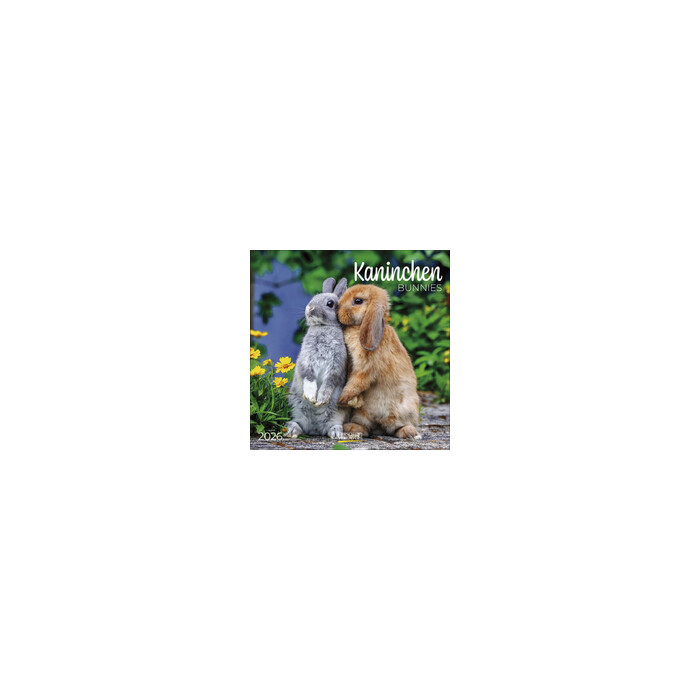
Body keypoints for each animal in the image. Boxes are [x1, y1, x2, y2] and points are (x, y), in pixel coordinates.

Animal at [286, 277, 349, 439]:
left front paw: (320, 400)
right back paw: (292, 430)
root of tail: (315, 429)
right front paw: (311, 397)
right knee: (300, 424)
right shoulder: (306, 359)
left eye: (330, 303)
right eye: (314, 297)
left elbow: (329, 383)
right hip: (298, 409)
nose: (309, 308)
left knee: (331, 426)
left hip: (335, 413)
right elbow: (309, 378)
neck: (323, 327)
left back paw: (337, 434)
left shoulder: (336, 364)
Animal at [337, 284, 421, 440]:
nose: (337, 311)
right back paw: (351, 428)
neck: (358, 327)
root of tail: (381, 424)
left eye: (357, 301)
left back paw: (410, 433)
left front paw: (342, 398)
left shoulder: (365, 368)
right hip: (362, 414)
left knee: (397, 428)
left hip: (406, 411)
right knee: (366, 427)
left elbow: (357, 382)